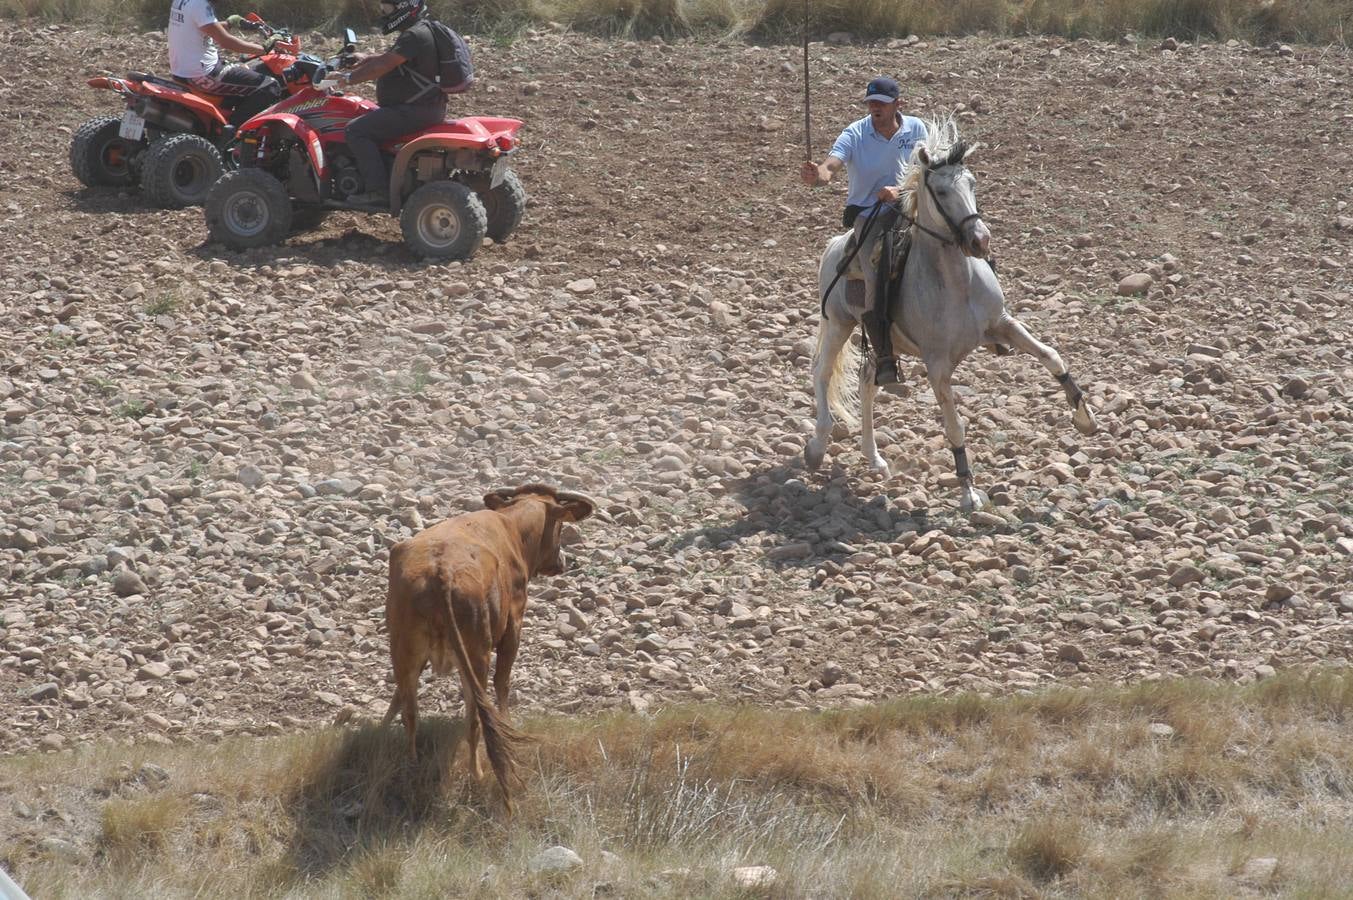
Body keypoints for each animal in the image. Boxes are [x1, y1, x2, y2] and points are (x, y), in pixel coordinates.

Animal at [381, 484, 592, 806]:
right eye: (560, 525)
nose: (562, 563)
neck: (513, 529)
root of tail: (440, 569)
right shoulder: (514, 623)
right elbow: (503, 682)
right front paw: (509, 722)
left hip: (404, 648)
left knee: (411, 712)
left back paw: (412, 765)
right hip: (476, 652)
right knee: (475, 715)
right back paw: (477, 774)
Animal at [800, 117, 1098, 511]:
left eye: (971, 183)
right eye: (940, 192)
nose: (980, 240)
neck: (957, 285)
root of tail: (837, 244)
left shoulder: (1001, 324)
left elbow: (1052, 356)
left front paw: (1085, 416)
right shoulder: (937, 363)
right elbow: (955, 425)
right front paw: (968, 489)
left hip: (879, 344)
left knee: (866, 382)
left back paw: (874, 458)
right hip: (839, 323)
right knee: (822, 373)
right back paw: (817, 446)